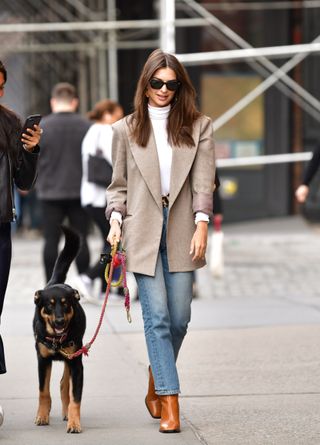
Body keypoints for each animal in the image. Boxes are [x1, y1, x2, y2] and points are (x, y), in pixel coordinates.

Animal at [33, 224, 85, 432]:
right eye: (49, 305)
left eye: (65, 304)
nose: (60, 322)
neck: (56, 340)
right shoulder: (43, 360)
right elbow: (43, 392)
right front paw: (42, 416)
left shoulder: (77, 363)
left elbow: (75, 398)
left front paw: (74, 422)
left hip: (70, 358)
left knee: (64, 385)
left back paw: (66, 413)